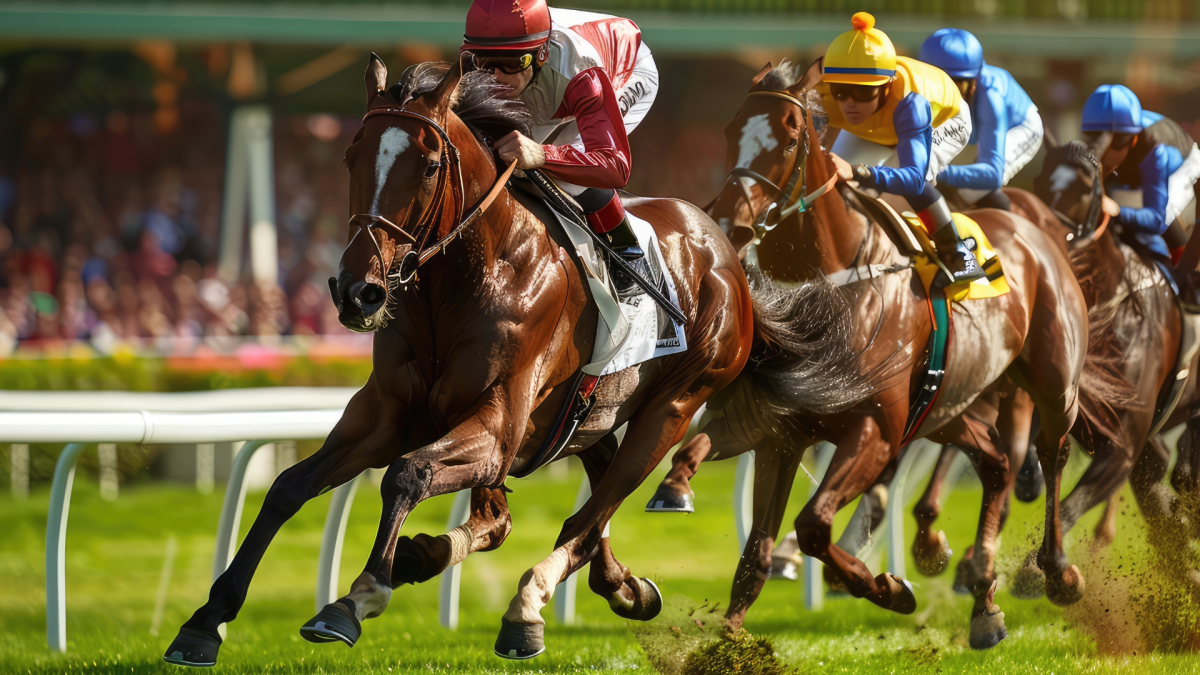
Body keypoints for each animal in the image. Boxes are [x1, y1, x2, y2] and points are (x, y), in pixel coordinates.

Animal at [163, 56, 868, 667]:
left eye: (427, 165)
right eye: (349, 156)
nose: (358, 291)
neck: (460, 280)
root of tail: (726, 252)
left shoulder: (499, 424)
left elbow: (407, 475)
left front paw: (355, 598)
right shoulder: (387, 412)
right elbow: (289, 486)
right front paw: (205, 622)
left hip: (672, 405)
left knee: (589, 514)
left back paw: (526, 607)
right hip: (584, 414)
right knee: (536, 510)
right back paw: (611, 585)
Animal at [647, 62, 1089, 649]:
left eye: (791, 137)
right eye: (729, 131)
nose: (730, 223)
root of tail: (1037, 229)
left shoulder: (875, 430)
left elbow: (813, 526)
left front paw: (887, 588)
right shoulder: (777, 429)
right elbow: (746, 542)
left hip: (1053, 381)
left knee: (1051, 451)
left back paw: (1055, 571)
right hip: (943, 408)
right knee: (995, 463)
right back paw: (983, 604)